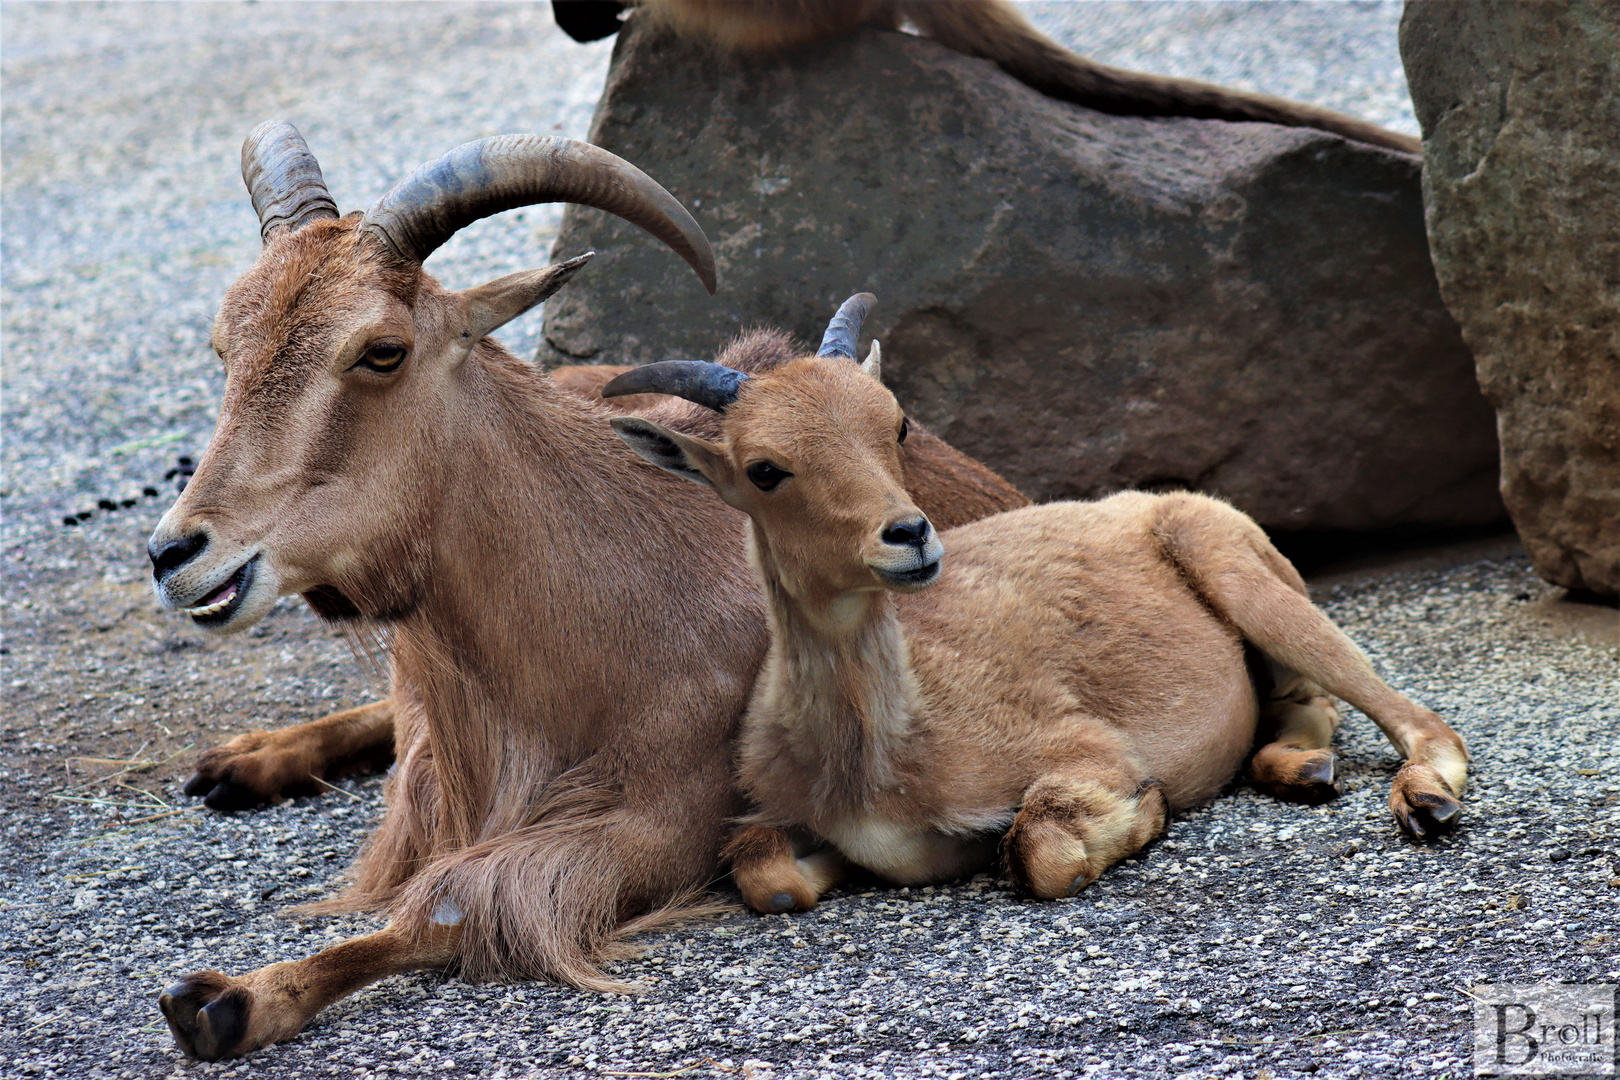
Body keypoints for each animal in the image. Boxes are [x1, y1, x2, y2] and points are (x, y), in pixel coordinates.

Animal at [145, 122, 1017, 1062]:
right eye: (227, 349)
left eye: (382, 351)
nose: (174, 552)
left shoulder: (659, 817)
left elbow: (454, 900)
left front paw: (236, 996)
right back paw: (244, 760)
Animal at [605, 299, 1470, 919]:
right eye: (764, 468)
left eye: (897, 423)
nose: (911, 535)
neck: (884, 757)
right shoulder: (774, 813)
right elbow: (766, 877)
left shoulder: (1078, 744)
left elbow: (1040, 845)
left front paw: (1145, 810)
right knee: (1304, 704)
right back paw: (1301, 768)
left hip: (1240, 575)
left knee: (1419, 720)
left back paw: (1424, 800)